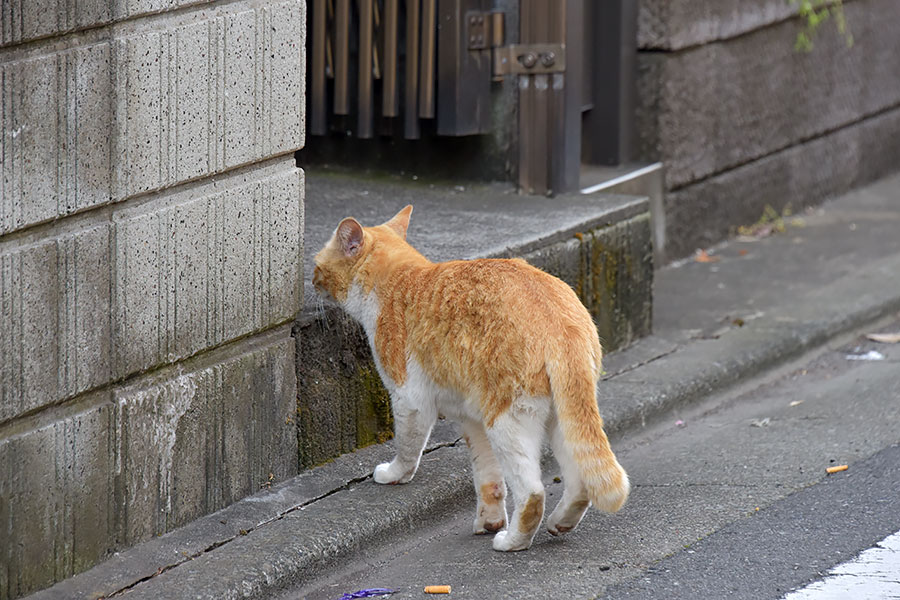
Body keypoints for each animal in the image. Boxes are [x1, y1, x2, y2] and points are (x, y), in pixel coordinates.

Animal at [312, 206, 628, 552]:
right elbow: (488, 479)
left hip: (506, 422)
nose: (312, 281)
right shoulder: (470, 420)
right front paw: (489, 521)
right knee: (581, 483)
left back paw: (513, 540)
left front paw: (395, 474)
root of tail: (561, 326)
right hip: (561, 419)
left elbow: (408, 447)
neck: (398, 280)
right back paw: (560, 523)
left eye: (316, 263)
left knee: (532, 493)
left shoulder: (411, 400)